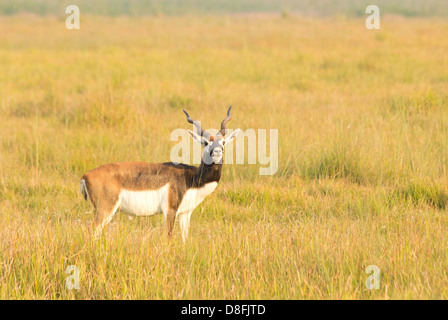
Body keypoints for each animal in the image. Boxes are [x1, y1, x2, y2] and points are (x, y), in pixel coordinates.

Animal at [80, 106, 242, 241]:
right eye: (206, 143)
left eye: (223, 143)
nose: (217, 152)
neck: (192, 178)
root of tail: (85, 176)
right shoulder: (170, 211)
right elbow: (168, 237)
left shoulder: (185, 214)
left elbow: (185, 239)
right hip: (105, 210)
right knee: (90, 231)